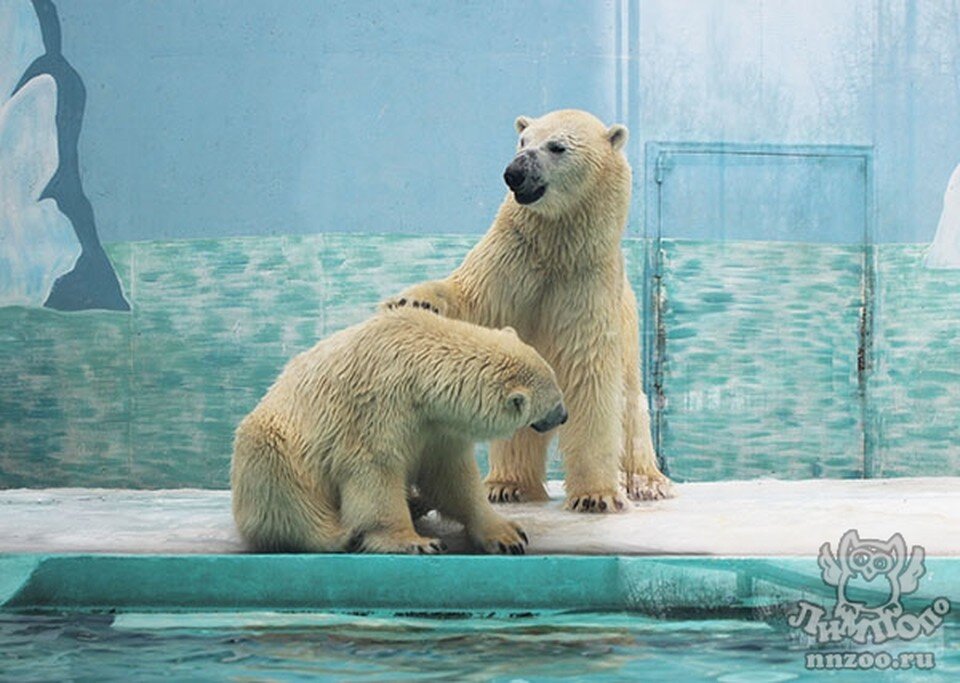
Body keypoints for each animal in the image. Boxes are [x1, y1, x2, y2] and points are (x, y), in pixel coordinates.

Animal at [230, 308, 568, 552]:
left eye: (558, 388)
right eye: (554, 401)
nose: (564, 416)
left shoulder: (437, 427)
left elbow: (452, 477)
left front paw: (507, 534)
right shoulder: (377, 408)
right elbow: (375, 473)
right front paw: (415, 542)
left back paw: (418, 503)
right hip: (273, 442)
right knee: (279, 481)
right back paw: (340, 534)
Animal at [386, 108, 672, 512]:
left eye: (557, 146)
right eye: (522, 141)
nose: (514, 173)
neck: (556, 247)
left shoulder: (587, 280)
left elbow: (590, 377)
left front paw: (596, 495)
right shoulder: (512, 255)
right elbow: (470, 298)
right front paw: (414, 300)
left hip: (628, 329)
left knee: (630, 406)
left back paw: (647, 482)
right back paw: (507, 485)